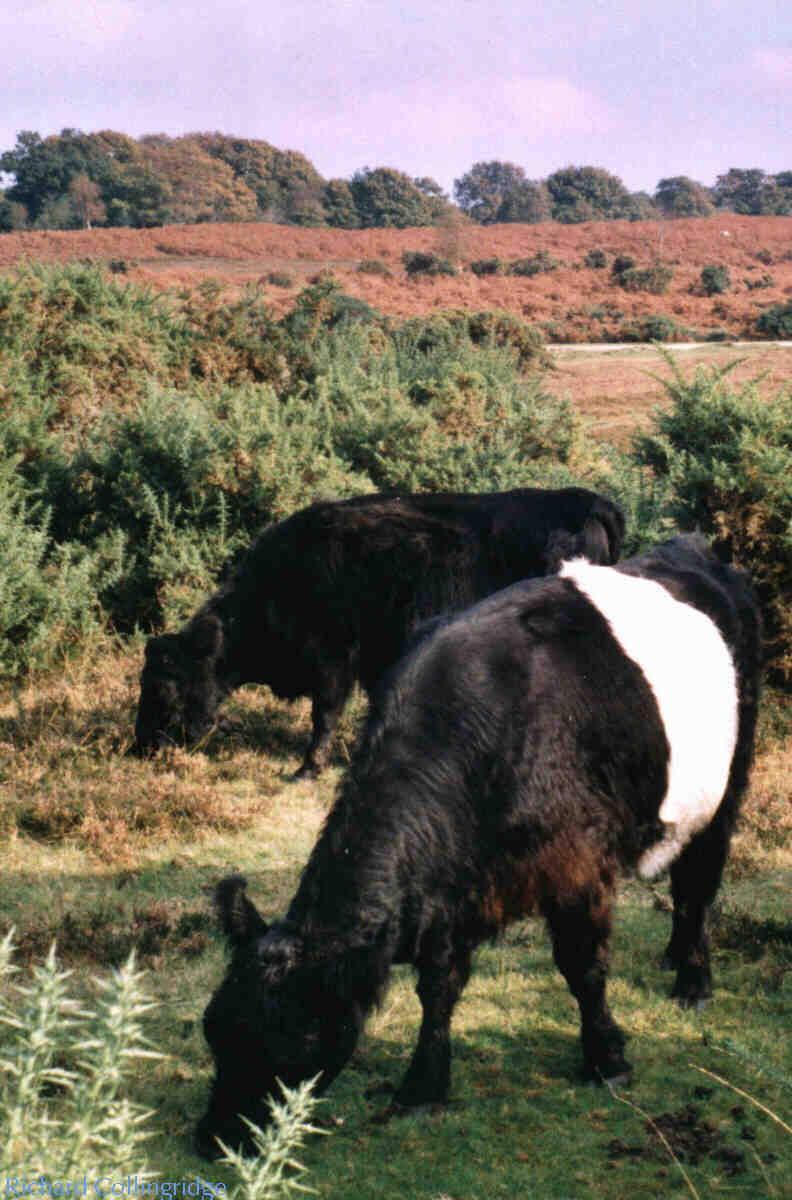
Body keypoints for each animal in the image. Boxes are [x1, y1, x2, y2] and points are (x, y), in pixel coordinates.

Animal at [133, 487, 624, 777]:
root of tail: (586, 501)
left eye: (165, 686)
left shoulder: (333, 662)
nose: (141, 746)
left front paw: (307, 768)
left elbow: (325, 716)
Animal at [193, 535, 763, 1152]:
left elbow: (583, 966)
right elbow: (439, 986)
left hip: (728, 781)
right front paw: (423, 1088)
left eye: (293, 1038)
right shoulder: (451, 888)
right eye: (213, 1029)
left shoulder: (577, 864)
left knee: (697, 885)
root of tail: (693, 549)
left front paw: (606, 1058)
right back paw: (674, 955)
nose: (214, 1140)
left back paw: (694, 979)